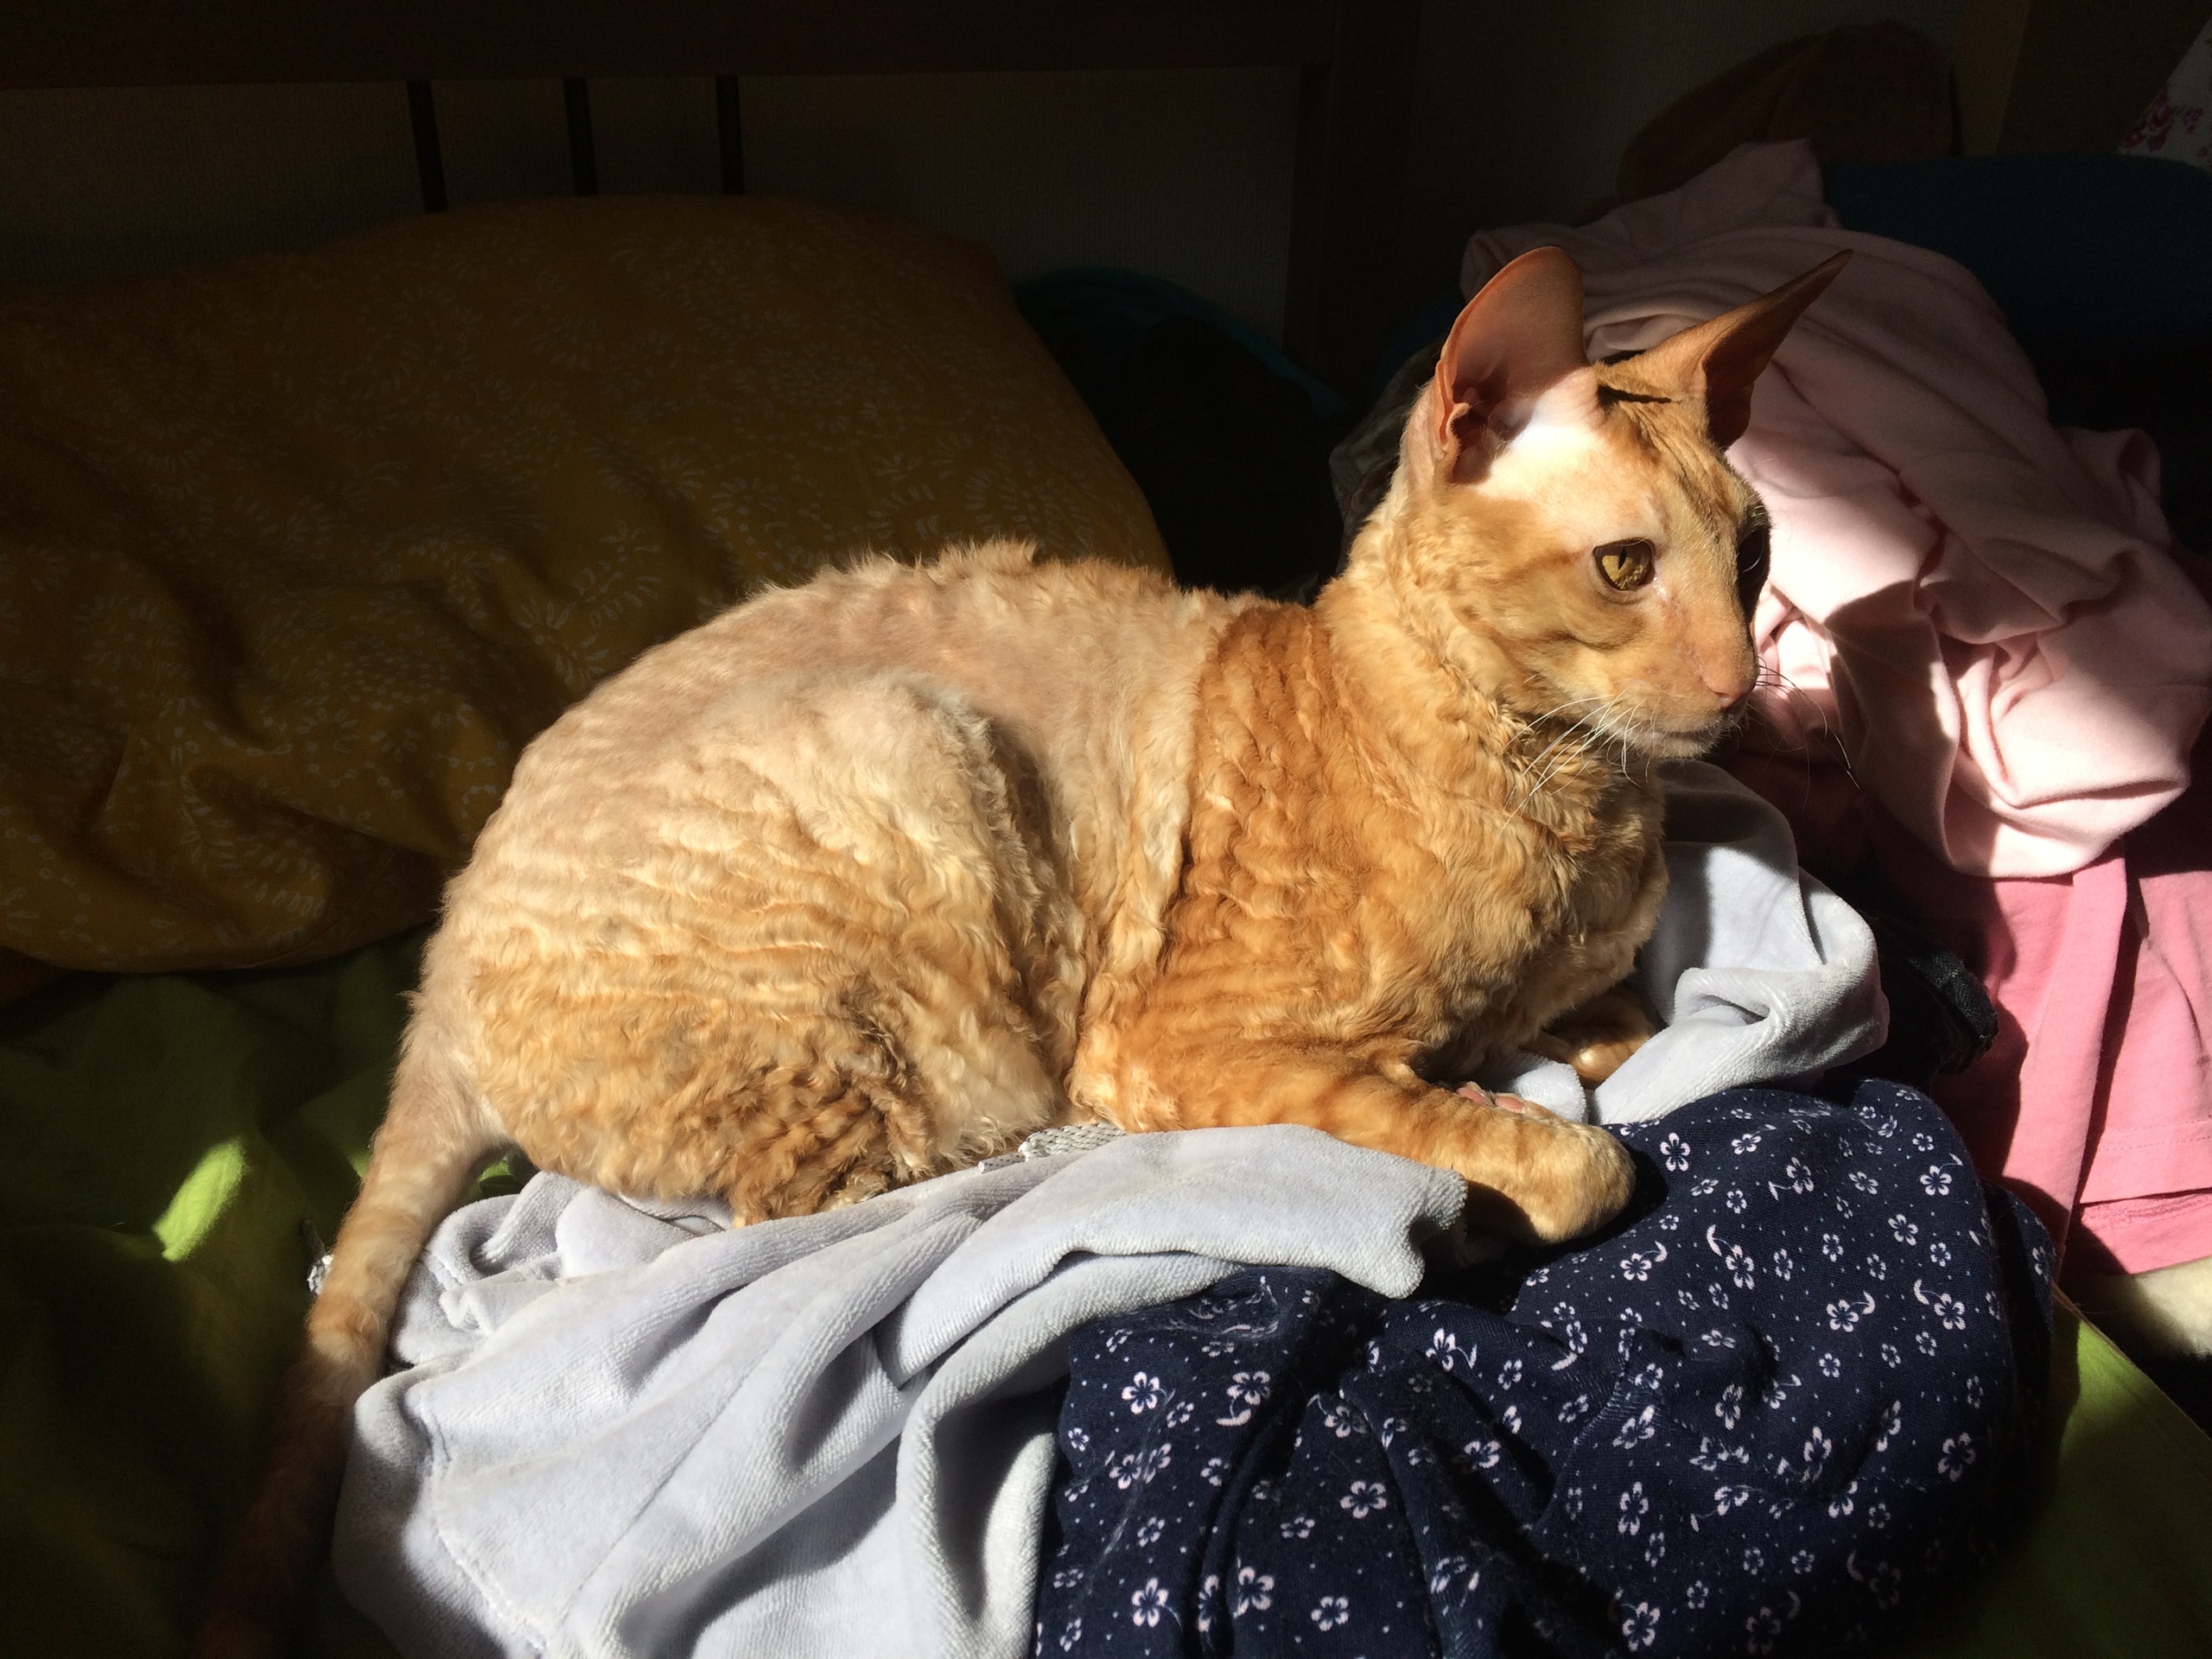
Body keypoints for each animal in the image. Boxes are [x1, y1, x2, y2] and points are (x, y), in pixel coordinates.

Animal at [191, 243, 1846, 1656]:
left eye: (1757, 553)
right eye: (1626, 569)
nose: (1738, 690)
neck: (1568, 793)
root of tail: (442, 959)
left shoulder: (1596, 985)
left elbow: (1635, 1049)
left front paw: (1562, 1066)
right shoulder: (1178, 1041)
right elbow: (1566, 1156)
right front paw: (1500, 1158)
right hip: (907, 781)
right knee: (852, 1210)